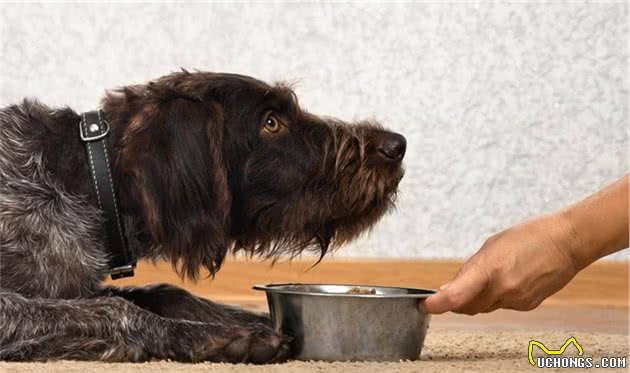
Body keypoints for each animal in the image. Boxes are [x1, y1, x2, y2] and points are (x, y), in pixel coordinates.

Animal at [0, 70, 408, 364]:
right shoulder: (16, 308)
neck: (89, 180)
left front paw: (254, 319)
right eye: (271, 122)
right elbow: (115, 308)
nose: (397, 145)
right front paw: (221, 336)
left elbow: (165, 292)